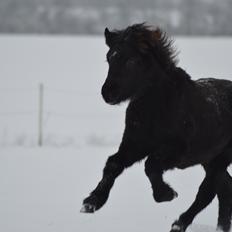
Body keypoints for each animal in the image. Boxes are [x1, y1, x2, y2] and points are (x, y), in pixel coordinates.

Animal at [80, 24, 232, 232]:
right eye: (109, 57)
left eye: (132, 60)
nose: (108, 93)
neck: (156, 107)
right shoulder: (134, 145)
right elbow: (113, 164)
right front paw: (92, 202)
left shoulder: (176, 151)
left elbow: (150, 165)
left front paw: (166, 194)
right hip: (210, 159)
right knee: (223, 188)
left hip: (220, 158)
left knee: (207, 191)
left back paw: (179, 223)